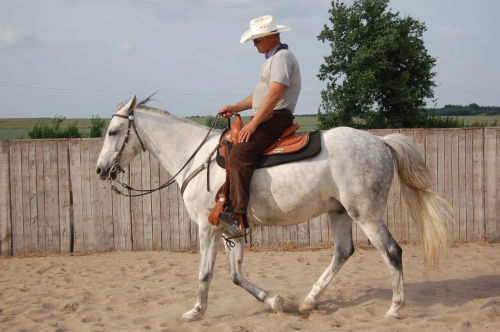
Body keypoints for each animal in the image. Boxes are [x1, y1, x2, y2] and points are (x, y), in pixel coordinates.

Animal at [95, 95, 452, 322]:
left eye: (113, 132)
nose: (100, 170)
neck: (195, 157)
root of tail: (379, 142)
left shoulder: (207, 227)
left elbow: (206, 272)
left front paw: (195, 311)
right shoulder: (231, 229)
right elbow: (236, 275)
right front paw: (275, 301)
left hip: (366, 213)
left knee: (392, 252)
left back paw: (394, 308)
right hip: (339, 212)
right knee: (343, 251)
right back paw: (309, 300)